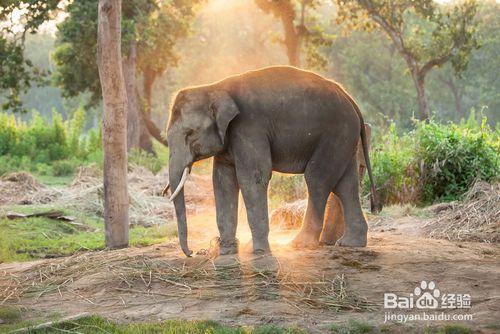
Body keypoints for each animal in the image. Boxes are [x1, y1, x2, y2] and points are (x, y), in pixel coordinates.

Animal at [165, 66, 378, 258]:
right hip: (345, 139)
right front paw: (226, 251)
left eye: (189, 133)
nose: (192, 252)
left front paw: (257, 251)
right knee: (345, 185)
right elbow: (222, 181)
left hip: (335, 134)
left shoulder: (249, 127)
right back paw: (350, 243)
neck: (214, 87)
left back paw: (300, 244)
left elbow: (253, 178)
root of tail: (351, 100)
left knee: (317, 180)